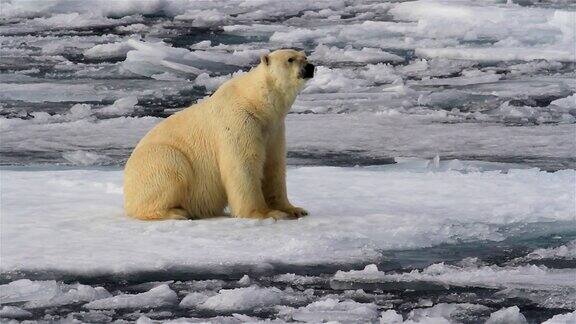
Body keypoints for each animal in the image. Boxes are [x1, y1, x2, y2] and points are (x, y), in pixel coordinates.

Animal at [124, 48, 316, 220]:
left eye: (305, 56)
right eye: (290, 59)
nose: (310, 67)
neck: (256, 103)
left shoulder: (273, 129)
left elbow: (274, 166)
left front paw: (294, 209)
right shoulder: (239, 121)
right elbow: (243, 165)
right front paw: (265, 213)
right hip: (158, 160)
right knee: (173, 170)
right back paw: (176, 213)